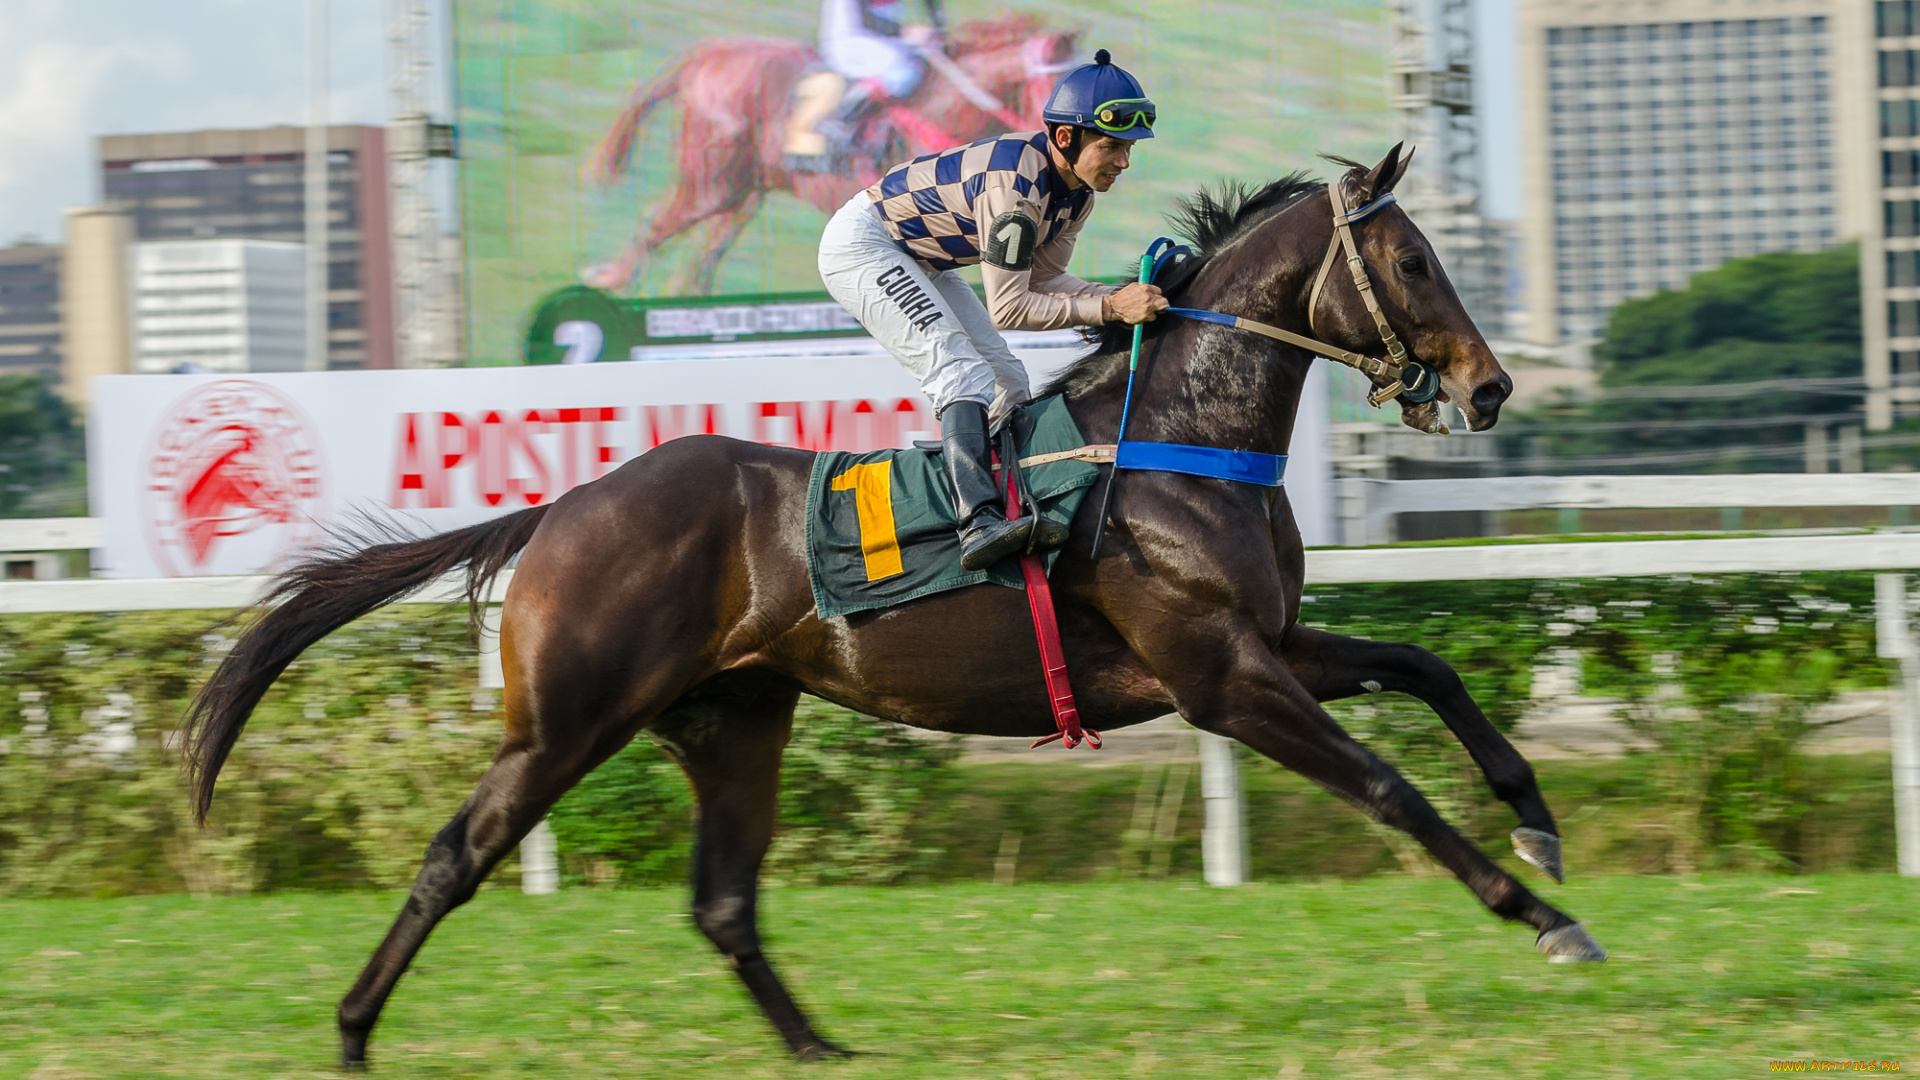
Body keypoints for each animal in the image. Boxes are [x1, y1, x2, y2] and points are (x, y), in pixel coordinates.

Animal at [183, 144, 1604, 1071]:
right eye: (1412, 259)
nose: (1487, 389)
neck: (1176, 441)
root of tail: (565, 506)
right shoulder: (1220, 675)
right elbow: (1388, 787)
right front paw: (1545, 919)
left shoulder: (1274, 643)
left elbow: (1428, 665)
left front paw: (1538, 824)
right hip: (565, 724)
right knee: (452, 859)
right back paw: (353, 1033)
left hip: (735, 720)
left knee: (722, 902)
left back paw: (818, 1046)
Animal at [578, 15, 1076, 295]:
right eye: (1063, 83)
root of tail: (709, 54)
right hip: (713, 182)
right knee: (657, 227)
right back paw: (609, 281)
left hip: (745, 190)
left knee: (703, 259)